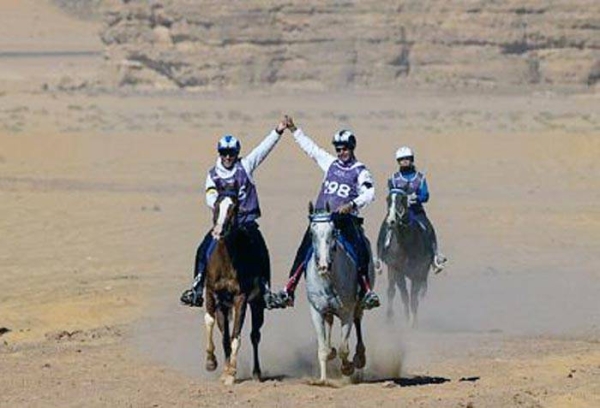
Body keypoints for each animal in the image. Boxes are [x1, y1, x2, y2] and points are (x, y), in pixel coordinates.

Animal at [204, 186, 264, 384]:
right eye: (216, 204)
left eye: (235, 208)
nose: (218, 232)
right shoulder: (211, 292)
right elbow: (210, 322)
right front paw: (211, 362)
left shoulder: (241, 298)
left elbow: (236, 336)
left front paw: (231, 374)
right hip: (223, 306)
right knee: (225, 336)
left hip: (257, 303)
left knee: (255, 336)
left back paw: (256, 373)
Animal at [304, 202, 370, 384]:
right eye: (311, 233)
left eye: (333, 231)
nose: (323, 265)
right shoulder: (316, 311)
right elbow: (322, 349)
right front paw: (322, 380)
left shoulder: (347, 311)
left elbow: (344, 349)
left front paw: (348, 368)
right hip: (328, 311)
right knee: (329, 322)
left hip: (358, 306)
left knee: (358, 320)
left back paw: (360, 358)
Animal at [376, 189, 432, 328]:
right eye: (388, 199)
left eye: (403, 199)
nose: (391, 221)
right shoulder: (396, 270)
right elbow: (404, 295)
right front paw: (407, 319)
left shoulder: (418, 272)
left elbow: (414, 297)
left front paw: (413, 321)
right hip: (391, 270)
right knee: (391, 291)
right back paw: (389, 317)